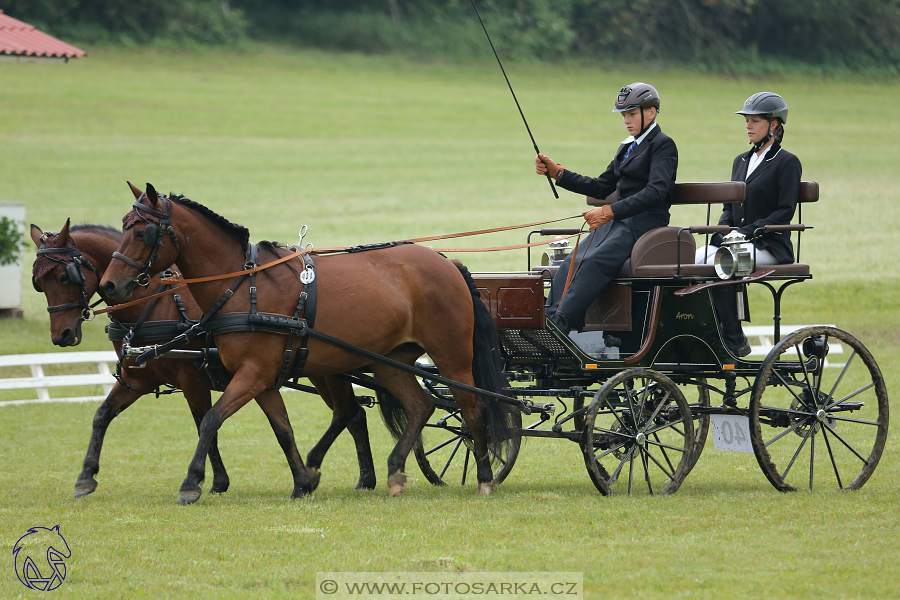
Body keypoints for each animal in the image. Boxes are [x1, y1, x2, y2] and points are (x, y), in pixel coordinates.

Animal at [31, 218, 374, 500]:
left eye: (64, 276)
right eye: (38, 283)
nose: (61, 335)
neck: (155, 303)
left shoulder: (193, 379)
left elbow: (204, 425)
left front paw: (210, 482)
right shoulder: (137, 379)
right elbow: (101, 416)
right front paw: (86, 477)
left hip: (328, 368)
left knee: (347, 412)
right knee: (355, 413)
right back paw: (364, 479)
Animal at [100, 183, 512, 502]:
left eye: (142, 232)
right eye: (123, 227)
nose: (109, 285)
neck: (243, 286)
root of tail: (447, 262)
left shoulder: (251, 374)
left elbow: (211, 420)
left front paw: (191, 484)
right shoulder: (262, 378)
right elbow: (282, 429)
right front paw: (302, 482)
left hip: (452, 358)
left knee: (472, 408)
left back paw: (484, 478)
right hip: (387, 360)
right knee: (420, 405)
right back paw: (395, 471)